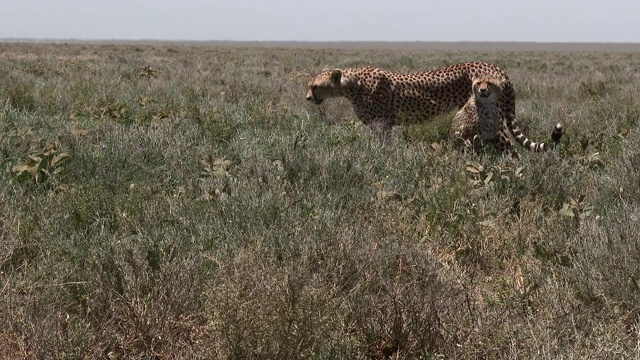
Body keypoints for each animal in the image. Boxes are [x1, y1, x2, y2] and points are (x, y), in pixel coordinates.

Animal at [308, 61, 564, 151]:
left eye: (314, 86)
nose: (308, 98)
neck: (351, 85)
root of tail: (496, 68)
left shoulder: (383, 125)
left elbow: (383, 147)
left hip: (489, 118)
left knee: (510, 147)